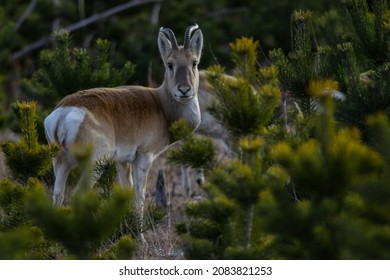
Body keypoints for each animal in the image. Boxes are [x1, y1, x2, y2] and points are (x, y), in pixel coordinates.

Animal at [44, 24, 204, 210]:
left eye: (194, 62)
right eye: (170, 64)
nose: (184, 90)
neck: (160, 104)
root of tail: (64, 112)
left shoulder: (122, 162)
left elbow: (127, 191)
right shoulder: (144, 157)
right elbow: (139, 196)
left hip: (61, 163)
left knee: (58, 196)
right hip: (94, 163)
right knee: (78, 193)